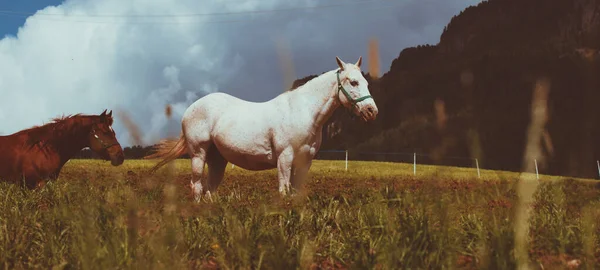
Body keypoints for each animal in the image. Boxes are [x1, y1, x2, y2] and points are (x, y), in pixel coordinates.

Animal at [145, 56, 378, 200]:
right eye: (353, 82)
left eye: (366, 82)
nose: (371, 111)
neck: (302, 112)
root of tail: (190, 109)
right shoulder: (285, 158)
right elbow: (283, 190)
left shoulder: (305, 161)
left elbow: (296, 192)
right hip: (198, 154)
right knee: (197, 186)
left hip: (217, 158)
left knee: (210, 188)